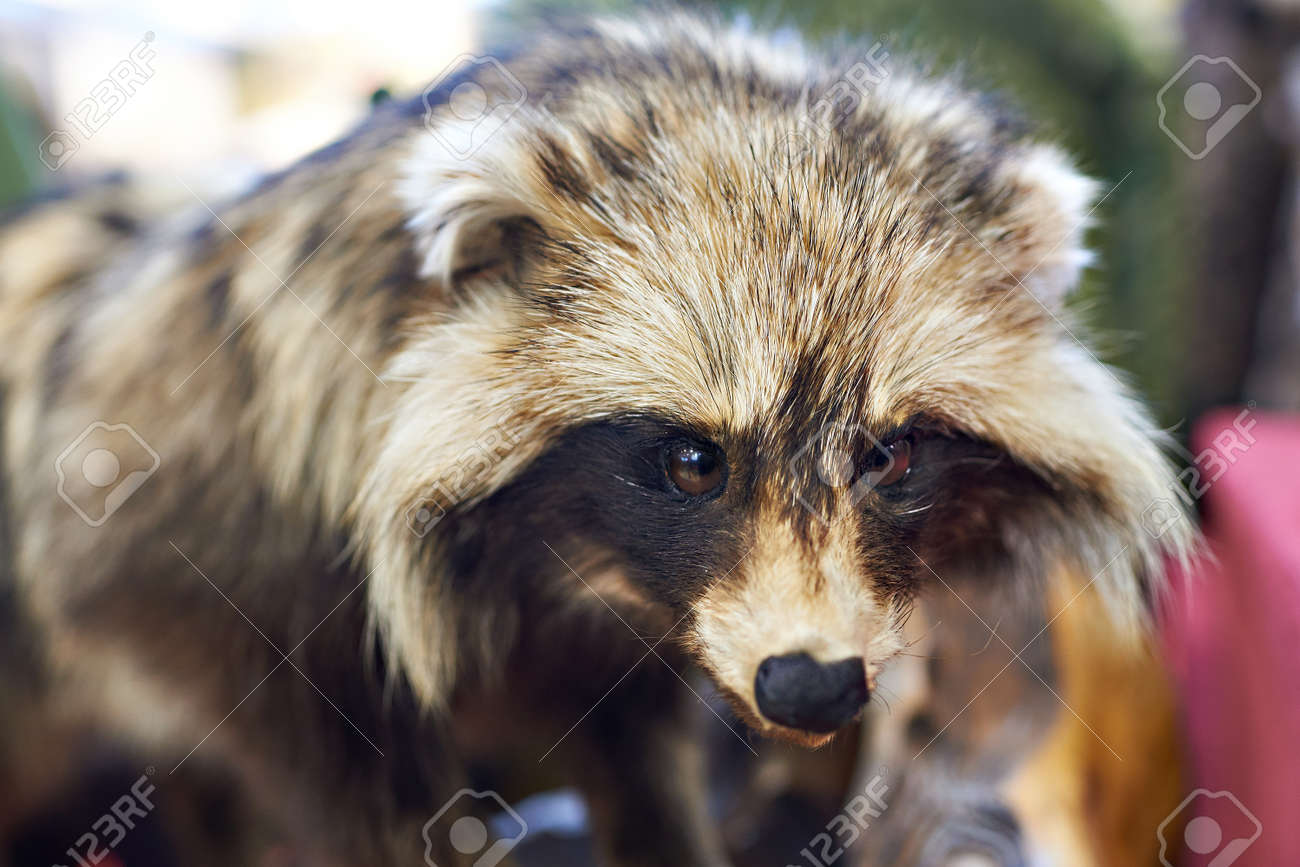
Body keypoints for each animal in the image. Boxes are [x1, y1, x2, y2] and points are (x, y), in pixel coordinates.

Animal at [0, 11, 1193, 866]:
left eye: (890, 456)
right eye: (694, 460)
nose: (809, 689)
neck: (565, 564)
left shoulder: (649, 638)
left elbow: (636, 751)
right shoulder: (192, 551)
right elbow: (334, 759)